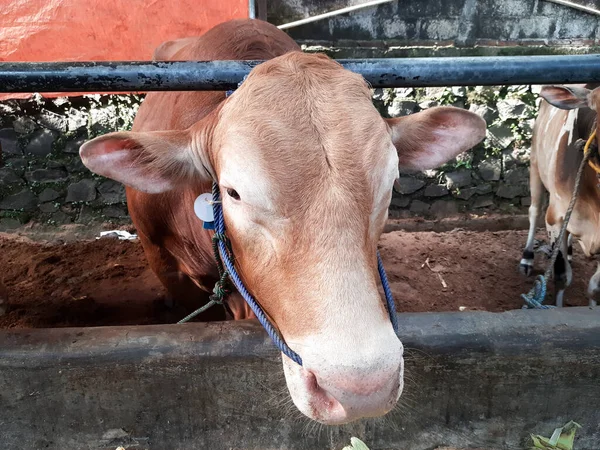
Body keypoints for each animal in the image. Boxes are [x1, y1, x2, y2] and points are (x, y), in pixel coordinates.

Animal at [520, 83, 600, 310]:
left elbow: (595, 288)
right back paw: (527, 258)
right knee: (534, 211)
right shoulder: (555, 218)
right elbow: (562, 276)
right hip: (535, 163)